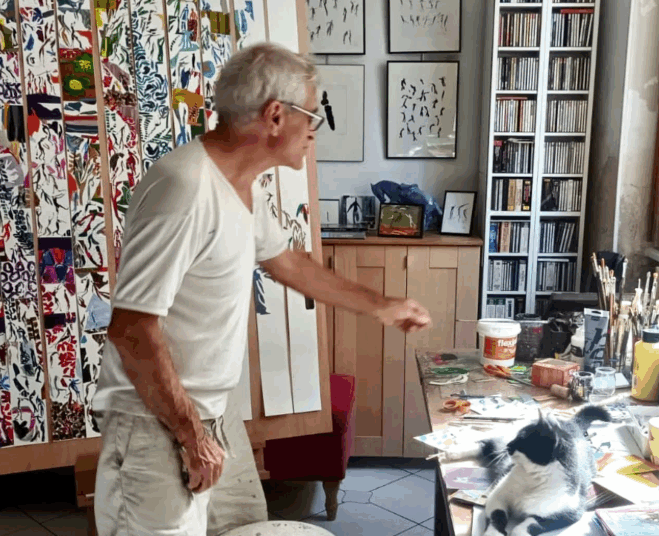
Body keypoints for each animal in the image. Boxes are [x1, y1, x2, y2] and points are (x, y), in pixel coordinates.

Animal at [440, 405, 611, 536]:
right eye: (517, 437)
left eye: (521, 440)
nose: (509, 444)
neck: (533, 477)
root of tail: (573, 424)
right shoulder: (497, 496)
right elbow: (496, 514)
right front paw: (494, 533)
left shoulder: (570, 511)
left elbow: (533, 523)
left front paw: (519, 531)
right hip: (500, 443)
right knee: (485, 444)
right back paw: (450, 452)